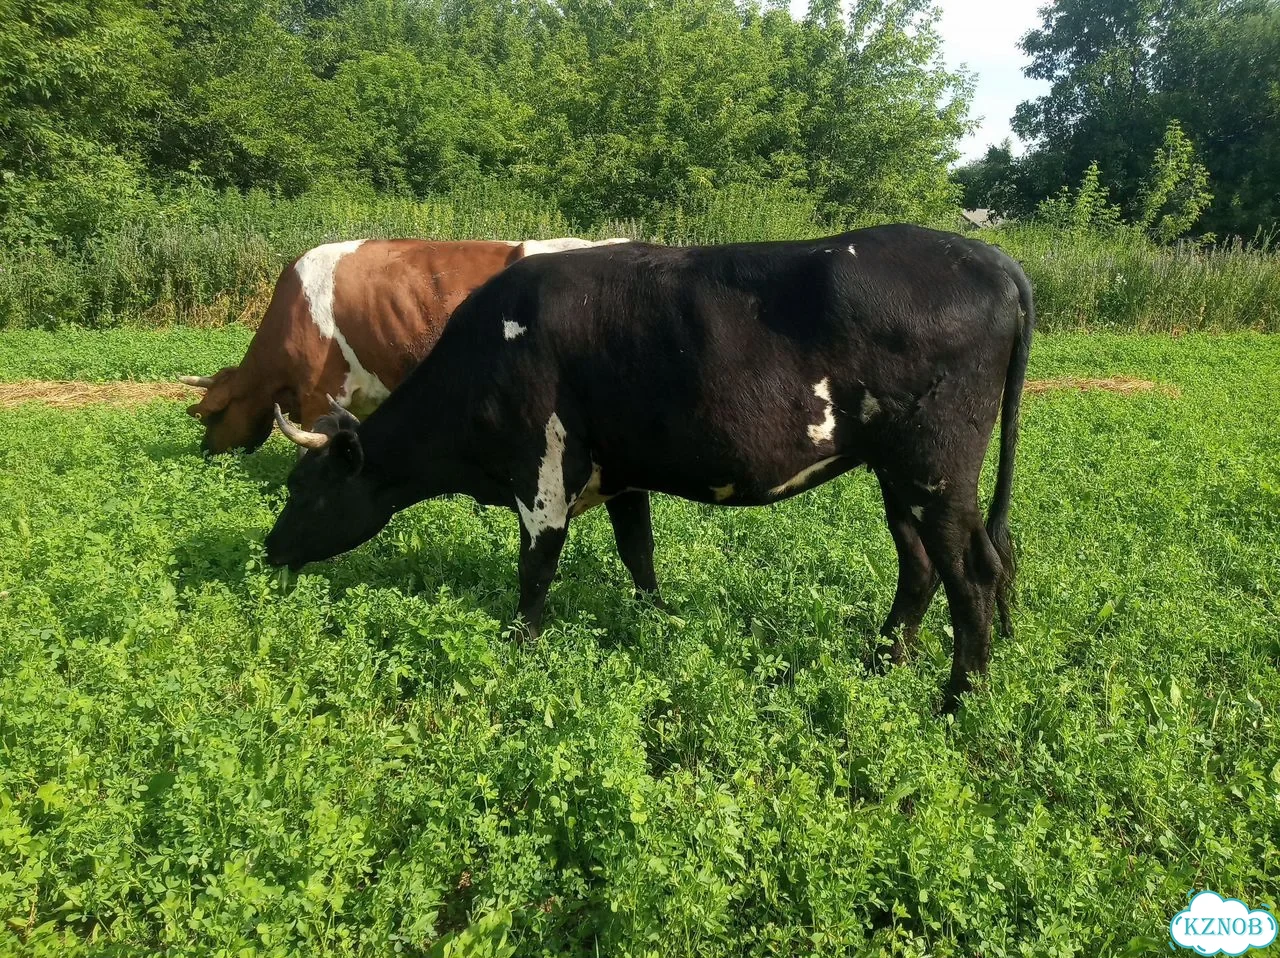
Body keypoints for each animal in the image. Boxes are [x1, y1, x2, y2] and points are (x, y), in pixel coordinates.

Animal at [264, 225, 1035, 711]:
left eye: (304, 489)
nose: (268, 549)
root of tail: (988, 256)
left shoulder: (542, 472)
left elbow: (535, 572)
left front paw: (520, 650)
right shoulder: (622, 473)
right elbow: (640, 554)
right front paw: (660, 622)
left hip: (937, 466)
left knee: (973, 573)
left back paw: (956, 701)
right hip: (896, 472)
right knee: (920, 565)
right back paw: (884, 661)